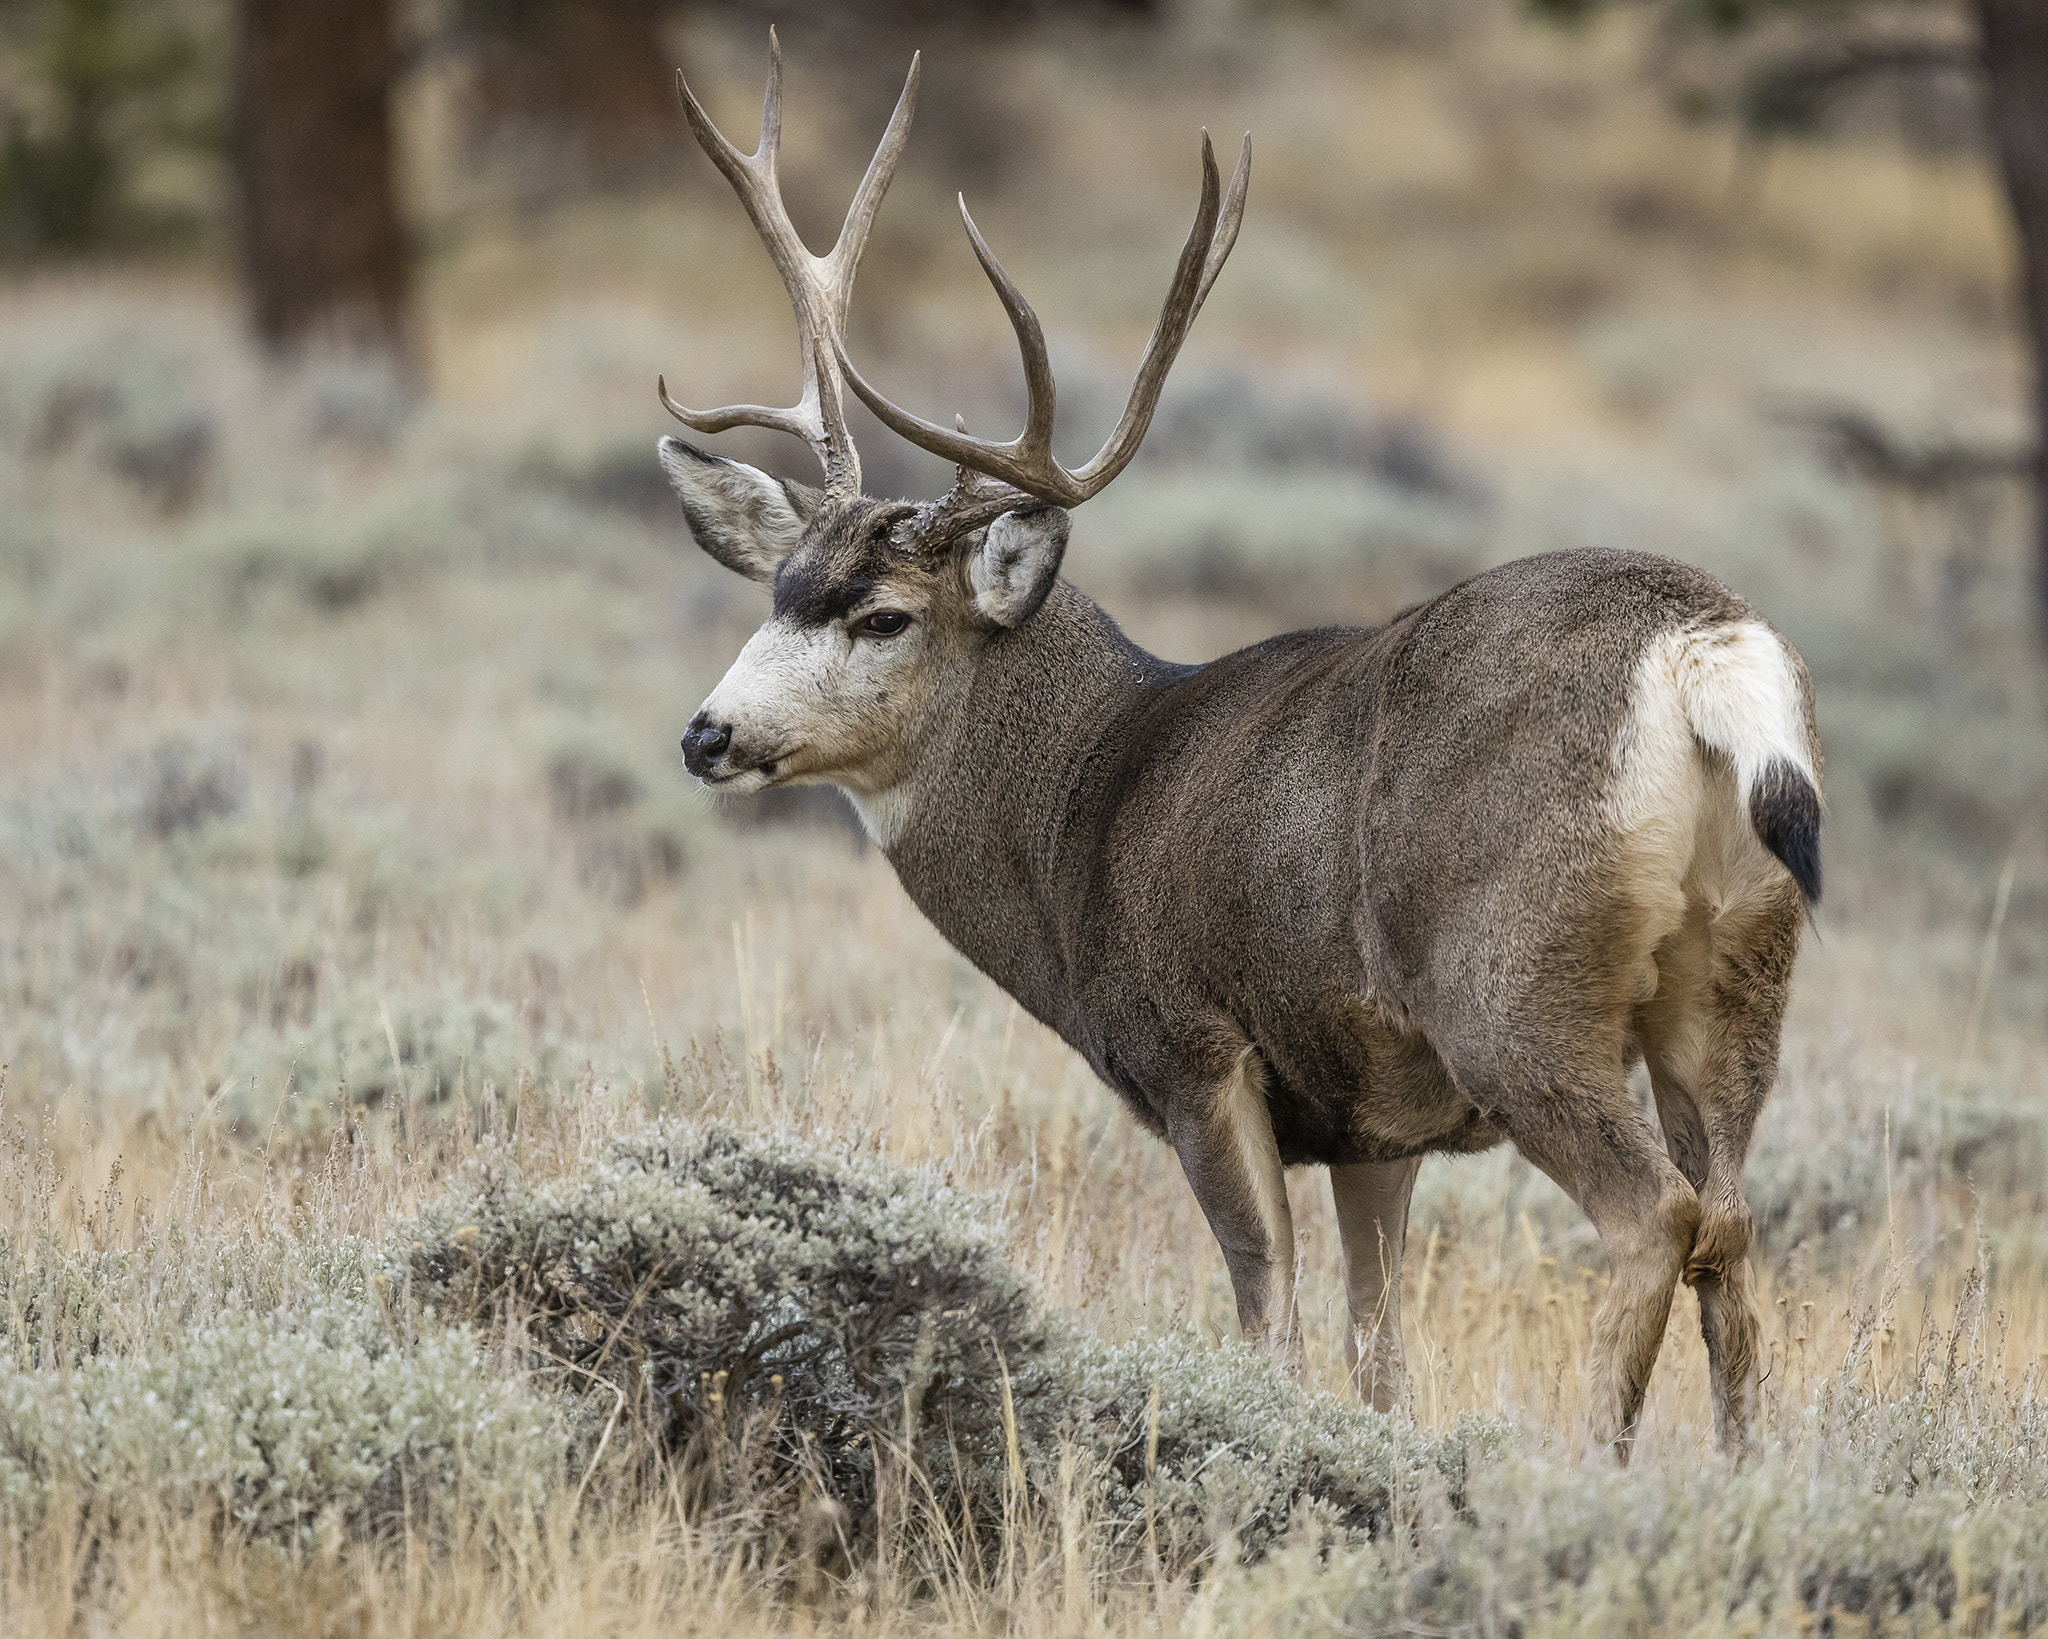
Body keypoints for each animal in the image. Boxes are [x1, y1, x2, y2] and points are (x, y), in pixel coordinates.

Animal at [659, 35, 1826, 1458]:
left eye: (881, 614)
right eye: (774, 591)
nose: (707, 735)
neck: (1080, 810)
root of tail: (1702, 649)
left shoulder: (1196, 1048)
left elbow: (1267, 1311)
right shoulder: (1375, 1116)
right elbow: (1378, 1346)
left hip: (1515, 982)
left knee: (1652, 1214)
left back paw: (1588, 1469)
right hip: (1734, 980)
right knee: (1732, 1229)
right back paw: (1740, 1474)